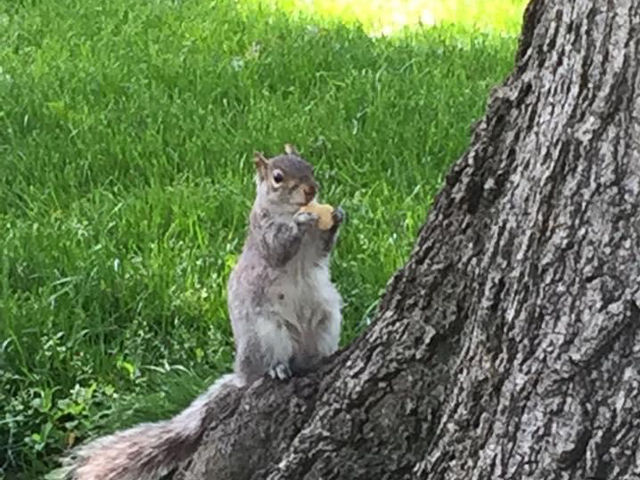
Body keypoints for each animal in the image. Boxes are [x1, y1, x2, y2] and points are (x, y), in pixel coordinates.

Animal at [63, 145, 344, 480]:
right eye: (278, 177)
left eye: (309, 166)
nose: (311, 189)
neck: (286, 210)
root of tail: (241, 374)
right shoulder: (262, 232)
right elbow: (278, 248)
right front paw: (301, 221)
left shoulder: (315, 246)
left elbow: (323, 247)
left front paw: (338, 215)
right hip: (267, 333)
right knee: (266, 365)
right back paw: (276, 368)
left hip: (327, 319)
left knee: (311, 353)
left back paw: (321, 357)